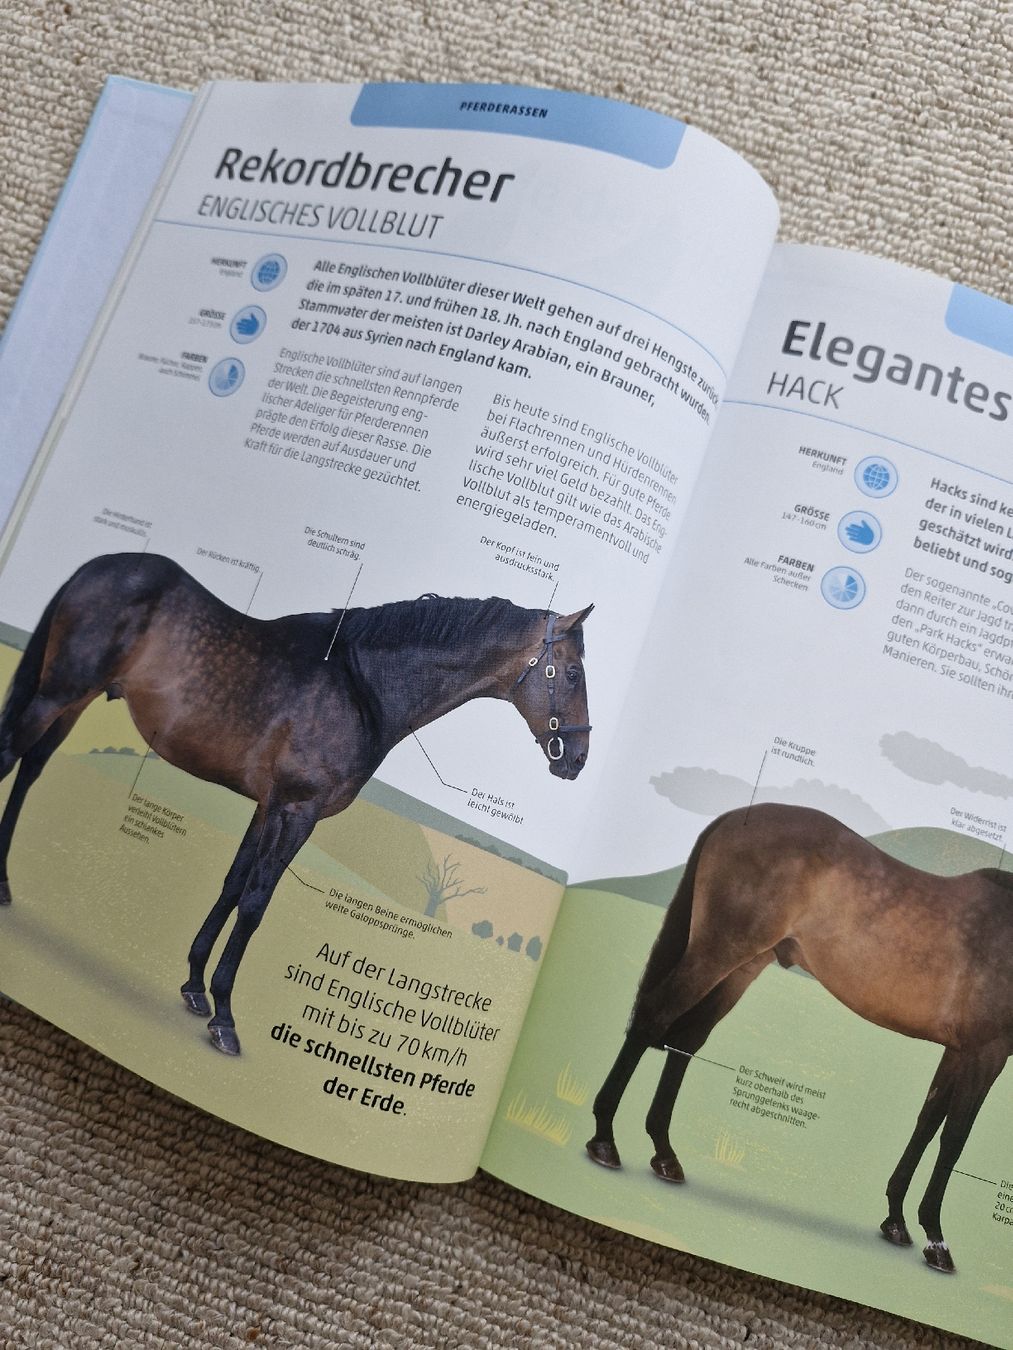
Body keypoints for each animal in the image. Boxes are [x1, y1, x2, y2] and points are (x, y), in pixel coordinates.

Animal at [0, 551, 593, 1057]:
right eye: (571, 673)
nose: (578, 758)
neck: (362, 686)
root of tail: (100, 565)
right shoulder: (297, 811)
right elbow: (256, 903)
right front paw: (225, 1017)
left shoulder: (267, 806)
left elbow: (233, 886)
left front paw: (195, 987)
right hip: (57, 694)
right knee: (10, 758)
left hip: (73, 702)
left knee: (30, 771)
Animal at [586, 803, 1012, 1273]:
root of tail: (736, 817)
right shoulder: (986, 1052)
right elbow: (953, 1140)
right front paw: (936, 1240)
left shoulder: (957, 1050)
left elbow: (926, 1124)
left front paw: (897, 1221)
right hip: (717, 953)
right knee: (652, 1018)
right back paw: (604, 1140)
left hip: (742, 966)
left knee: (685, 1042)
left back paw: (664, 1155)